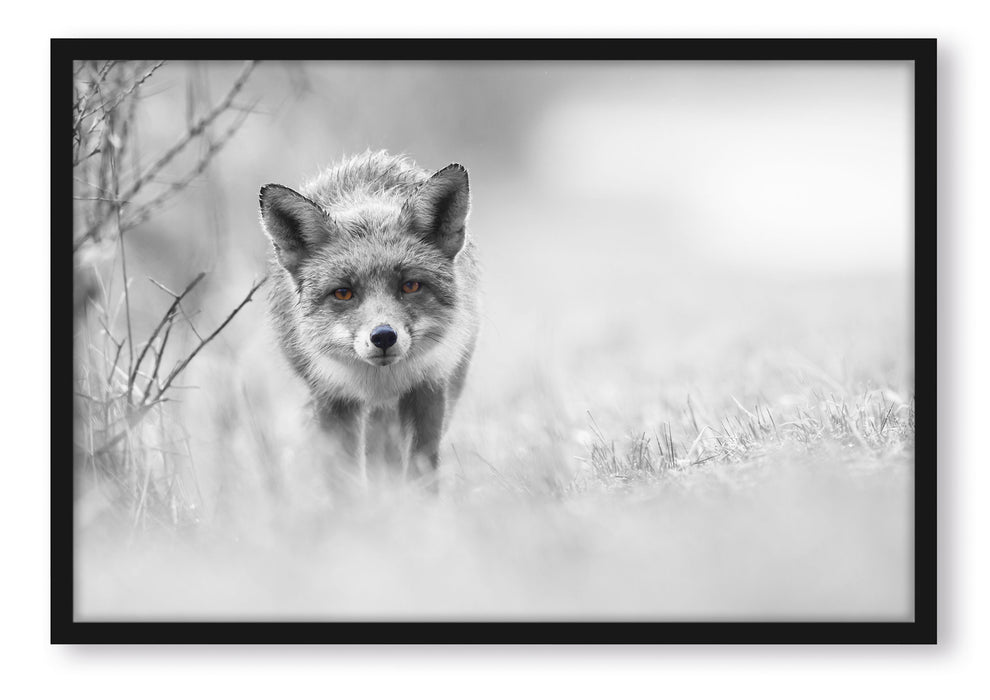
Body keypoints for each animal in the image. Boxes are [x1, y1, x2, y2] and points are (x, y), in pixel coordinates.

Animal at [258, 151, 480, 489]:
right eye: (343, 293)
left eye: (410, 286)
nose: (384, 336)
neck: (381, 381)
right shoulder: (332, 397)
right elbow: (343, 481)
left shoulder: (428, 387)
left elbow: (421, 472)